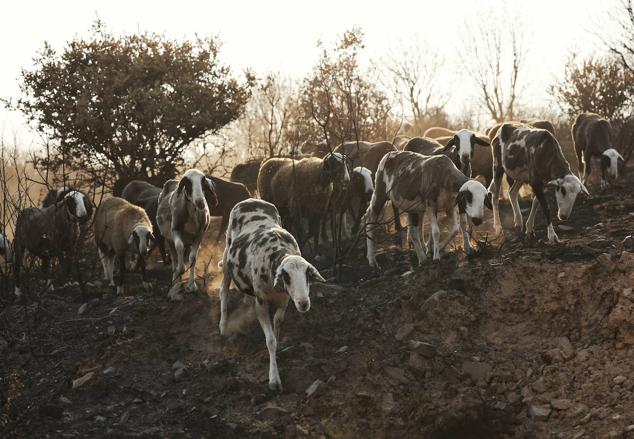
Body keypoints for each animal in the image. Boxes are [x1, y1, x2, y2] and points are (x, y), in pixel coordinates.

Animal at [156, 169, 217, 302]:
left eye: (203, 181)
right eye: (187, 183)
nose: (200, 202)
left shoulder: (199, 235)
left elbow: (193, 258)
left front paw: (192, 286)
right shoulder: (175, 231)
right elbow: (179, 247)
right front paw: (181, 270)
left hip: (189, 240)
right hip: (168, 238)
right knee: (174, 258)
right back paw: (175, 283)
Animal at [218, 199, 326, 392]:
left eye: (307, 275)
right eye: (287, 277)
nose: (304, 304)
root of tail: (250, 200)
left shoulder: (284, 301)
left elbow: (277, 326)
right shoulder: (262, 303)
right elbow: (270, 341)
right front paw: (274, 379)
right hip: (226, 257)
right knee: (223, 290)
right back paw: (223, 325)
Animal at [360, 151, 488, 268]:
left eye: (484, 200)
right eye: (469, 197)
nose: (478, 220)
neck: (444, 177)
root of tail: (389, 154)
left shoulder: (449, 207)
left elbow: (455, 230)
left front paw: (438, 247)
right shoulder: (430, 205)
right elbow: (436, 232)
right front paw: (436, 257)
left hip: (411, 206)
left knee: (414, 231)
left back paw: (422, 257)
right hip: (379, 192)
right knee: (370, 218)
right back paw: (372, 259)